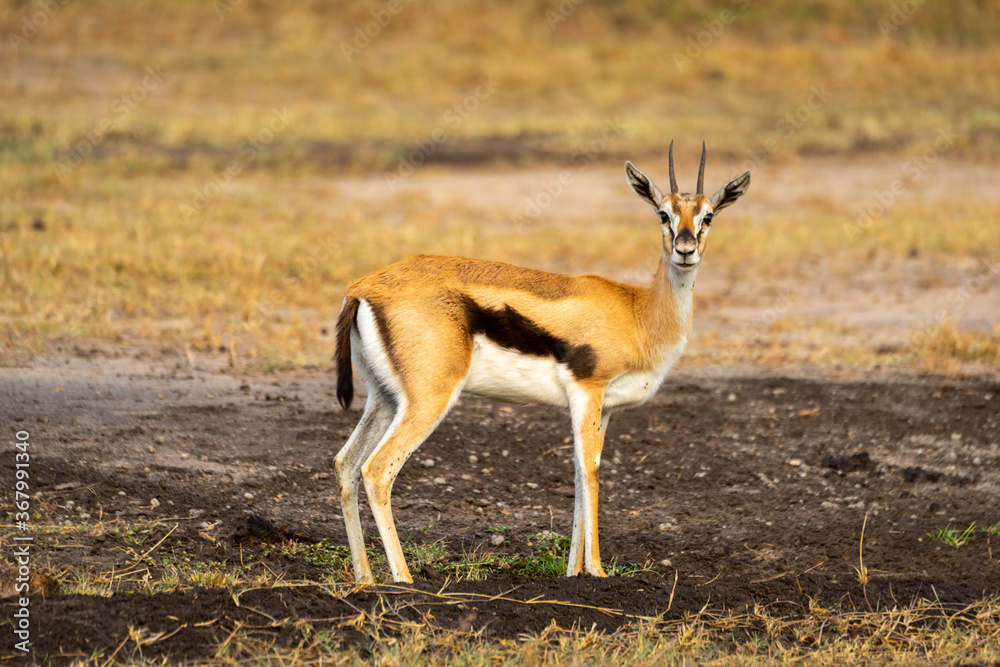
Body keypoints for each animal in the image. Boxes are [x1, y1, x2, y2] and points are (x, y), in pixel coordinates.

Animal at [334, 143, 751, 583]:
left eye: (708, 215)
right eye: (663, 213)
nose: (685, 251)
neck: (638, 313)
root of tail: (362, 287)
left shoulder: (604, 409)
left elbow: (581, 475)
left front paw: (572, 576)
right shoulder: (587, 392)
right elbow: (591, 472)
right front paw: (597, 573)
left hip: (385, 398)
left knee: (346, 464)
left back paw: (365, 580)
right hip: (429, 399)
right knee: (377, 470)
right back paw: (405, 582)